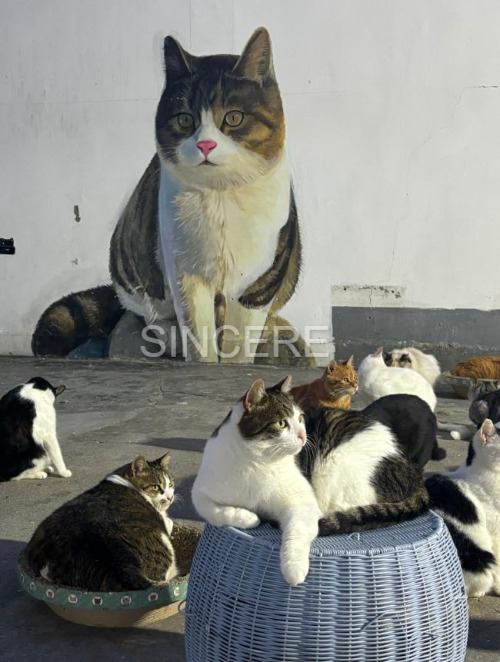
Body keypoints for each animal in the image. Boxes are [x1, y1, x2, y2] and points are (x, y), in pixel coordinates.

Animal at [26, 453, 178, 590]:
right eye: (156, 487)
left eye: (171, 484)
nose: (170, 497)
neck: (125, 482)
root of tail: (119, 565)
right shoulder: (163, 520)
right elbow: (169, 521)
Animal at [32, 28, 308, 365]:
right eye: (185, 119)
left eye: (233, 118)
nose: (205, 145)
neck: (220, 198)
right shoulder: (184, 274)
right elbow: (199, 334)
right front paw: (203, 362)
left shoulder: (259, 281)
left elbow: (241, 341)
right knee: (149, 317)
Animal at [192, 376, 428, 586]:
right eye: (281, 423)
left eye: (301, 419)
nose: (303, 436)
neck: (255, 463)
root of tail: (413, 471)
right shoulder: (200, 490)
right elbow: (213, 510)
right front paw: (246, 517)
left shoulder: (302, 502)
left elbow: (296, 533)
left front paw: (293, 569)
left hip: (335, 467)